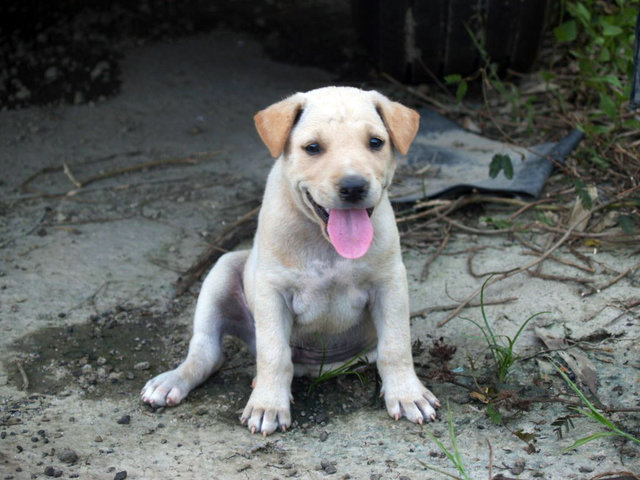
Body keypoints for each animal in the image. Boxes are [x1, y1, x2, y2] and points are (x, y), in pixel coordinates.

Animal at [141, 86, 440, 436]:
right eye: (312, 148)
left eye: (376, 142)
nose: (354, 187)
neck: (326, 243)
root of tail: (316, 367)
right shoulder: (272, 292)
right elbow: (274, 353)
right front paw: (268, 404)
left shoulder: (389, 283)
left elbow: (396, 345)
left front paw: (406, 394)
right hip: (222, 271)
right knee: (207, 352)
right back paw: (173, 381)